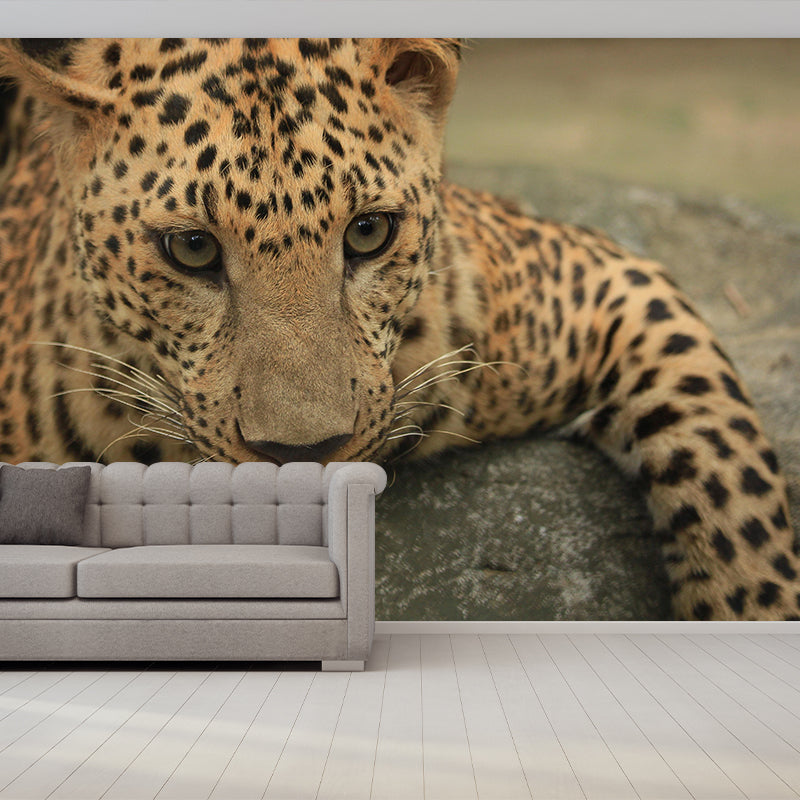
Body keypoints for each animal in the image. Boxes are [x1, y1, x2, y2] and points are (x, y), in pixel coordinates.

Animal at [0, 37, 797, 621]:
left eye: (369, 232)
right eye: (191, 248)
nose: (303, 453)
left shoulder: (602, 279)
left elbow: (736, 487)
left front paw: (754, 618)